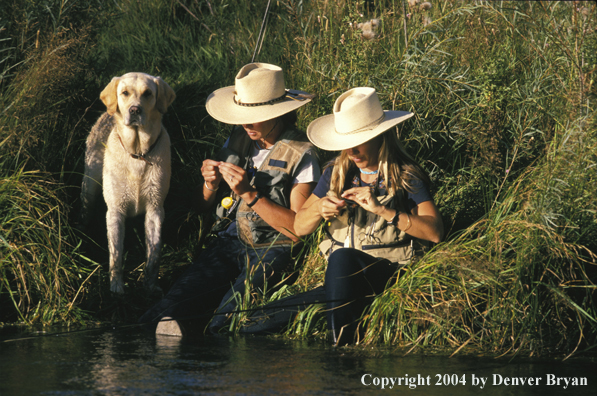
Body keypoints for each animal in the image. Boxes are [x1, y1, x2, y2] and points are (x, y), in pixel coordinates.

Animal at [81, 72, 175, 292]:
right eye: (124, 93)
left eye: (148, 93)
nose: (134, 110)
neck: (138, 153)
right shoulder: (115, 211)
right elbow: (115, 256)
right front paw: (116, 287)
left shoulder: (155, 209)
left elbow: (154, 255)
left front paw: (150, 286)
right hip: (89, 186)